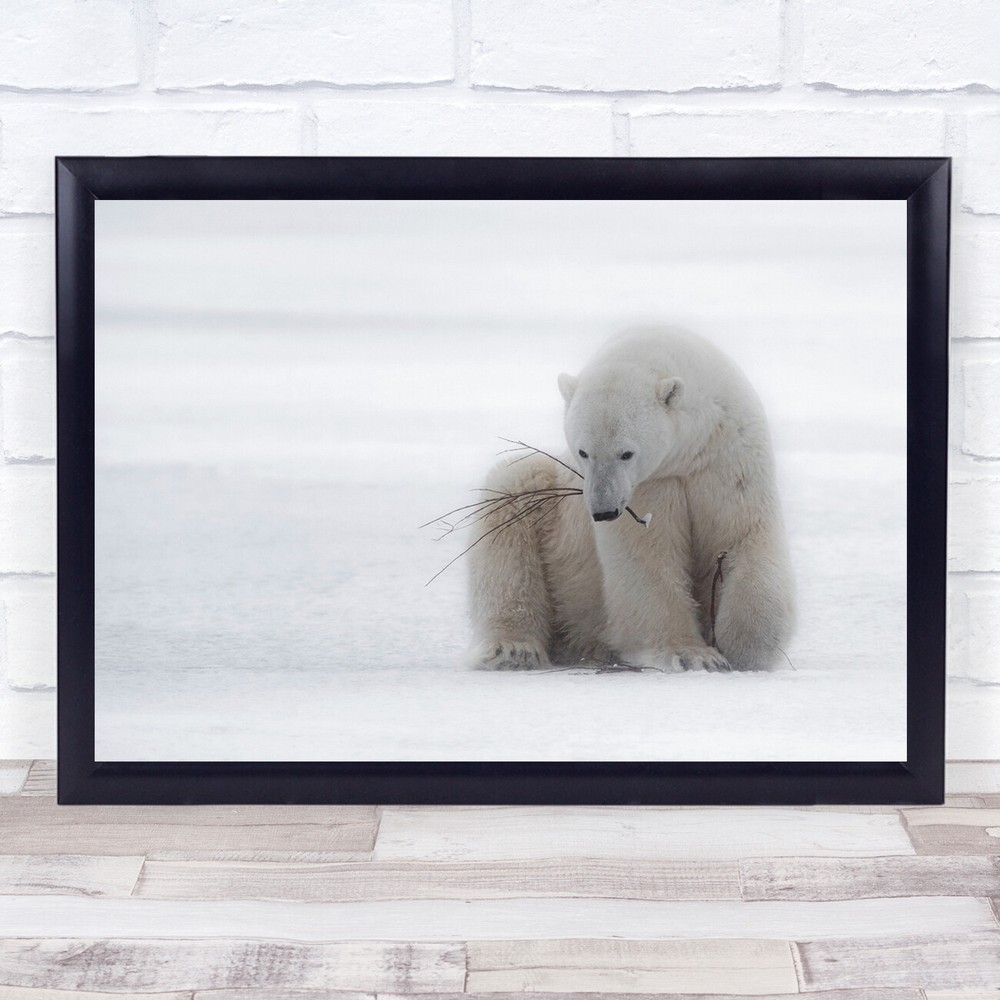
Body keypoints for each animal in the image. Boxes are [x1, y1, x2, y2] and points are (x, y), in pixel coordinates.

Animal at [466, 326, 795, 673]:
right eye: (583, 451)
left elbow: (743, 535)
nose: (603, 511)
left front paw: (746, 644)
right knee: (511, 509)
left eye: (626, 453)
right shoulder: (651, 485)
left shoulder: (727, 460)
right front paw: (693, 655)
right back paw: (514, 650)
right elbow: (647, 558)